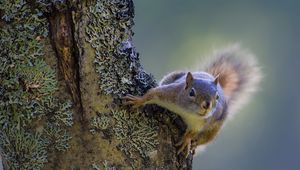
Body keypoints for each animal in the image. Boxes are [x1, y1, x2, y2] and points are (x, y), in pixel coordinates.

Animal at [123, 44, 262, 157]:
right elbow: (153, 93)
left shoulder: (202, 123)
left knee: (204, 139)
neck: (188, 112)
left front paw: (186, 141)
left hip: (214, 129)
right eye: (191, 92)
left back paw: (194, 144)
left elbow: (193, 132)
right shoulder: (170, 93)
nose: (207, 105)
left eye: (217, 97)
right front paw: (138, 100)